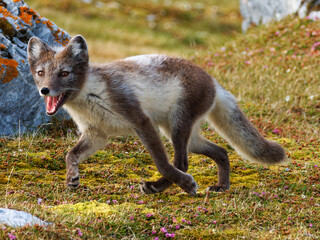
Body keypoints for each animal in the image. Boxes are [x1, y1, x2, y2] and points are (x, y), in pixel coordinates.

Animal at [27, 34, 286, 194]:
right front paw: (72, 177)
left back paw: (164, 186)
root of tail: (213, 80)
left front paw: (183, 184)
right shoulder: (97, 134)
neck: (90, 95)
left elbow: (162, 163)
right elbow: (70, 154)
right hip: (185, 135)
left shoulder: (140, 120)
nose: (44, 90)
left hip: (178, 126)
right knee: (221, 151)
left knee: (181, 162)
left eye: (64, 73)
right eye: (40, 73)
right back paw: (221, 187)